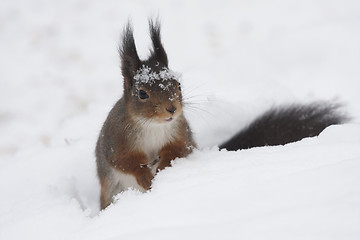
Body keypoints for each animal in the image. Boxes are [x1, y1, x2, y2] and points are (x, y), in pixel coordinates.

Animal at [95, 19, 346, 209]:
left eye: (178, 84)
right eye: (142, 93)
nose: (172, 109)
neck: (153, 126)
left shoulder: (180, 132)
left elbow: (177, 151)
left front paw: (164, 166)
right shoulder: (116, 140)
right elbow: (123, 161)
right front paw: (145, 176)